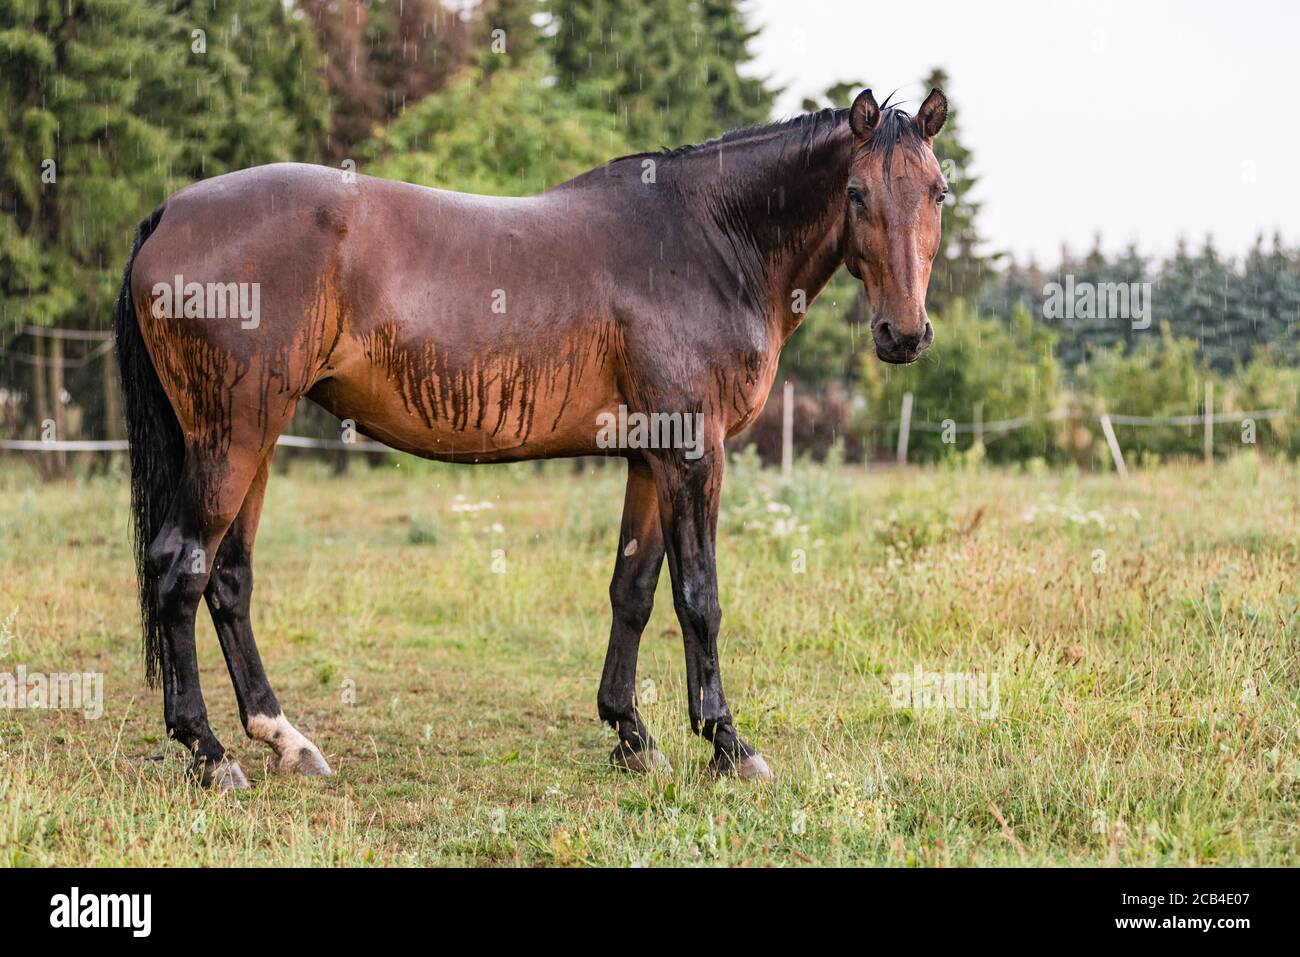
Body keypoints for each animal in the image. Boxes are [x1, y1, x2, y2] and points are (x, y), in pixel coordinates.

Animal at [113, 87, 949, 788]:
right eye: (856, 193)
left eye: (938, 192)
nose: (904, 334)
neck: (710, 238)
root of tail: (170, 212)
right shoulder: (693, 454)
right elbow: (699, 596)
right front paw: (728, 744)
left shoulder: (650, 459)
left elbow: (633, 590)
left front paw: (631, 734)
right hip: (232, 436)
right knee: (181, 566)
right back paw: (208, 751)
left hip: (253, 437)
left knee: (229, 580)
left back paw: (285, 738)